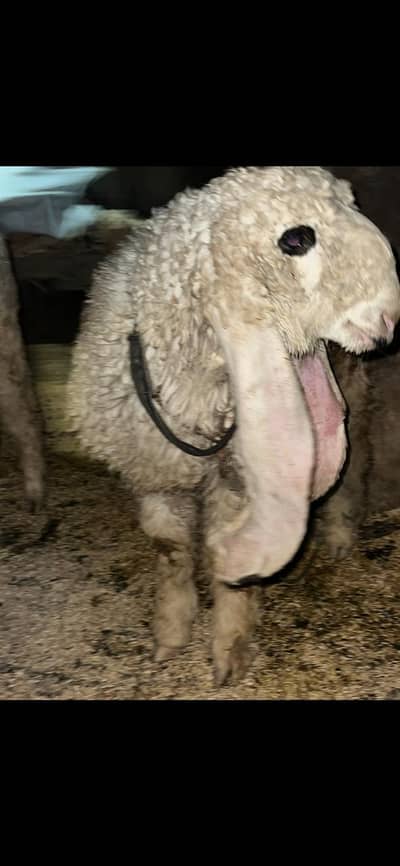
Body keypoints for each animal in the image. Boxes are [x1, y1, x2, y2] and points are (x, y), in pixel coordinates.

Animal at [67, 166, 400, 685]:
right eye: (297, 239)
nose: (386, 322)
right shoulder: (152, 471)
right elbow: (171, 549)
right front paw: (170, 635)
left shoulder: (237, 476)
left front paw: (230, 647)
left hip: (349, 384)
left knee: (355, 459)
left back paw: (340, 535)